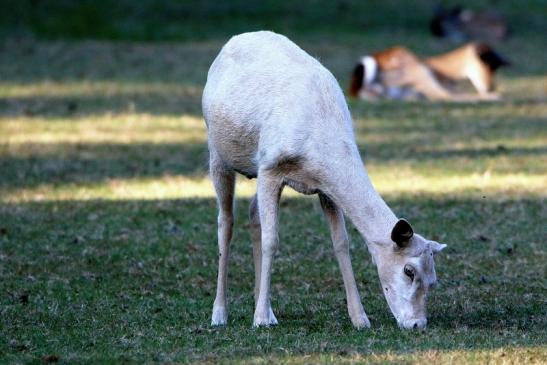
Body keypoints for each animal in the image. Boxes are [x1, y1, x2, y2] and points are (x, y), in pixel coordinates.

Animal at [203, 31, 448, 328]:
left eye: (433, 280)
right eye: (409, 271)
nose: (417, 324)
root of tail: (234, 40)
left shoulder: (324, 188)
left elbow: (341, 243)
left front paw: (360, 319)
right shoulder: (271, 166)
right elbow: (272, 240)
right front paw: (258, 320)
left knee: (253, 212)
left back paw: (269, 311)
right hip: (218, 154)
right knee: (225, 223)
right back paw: (220, 314)